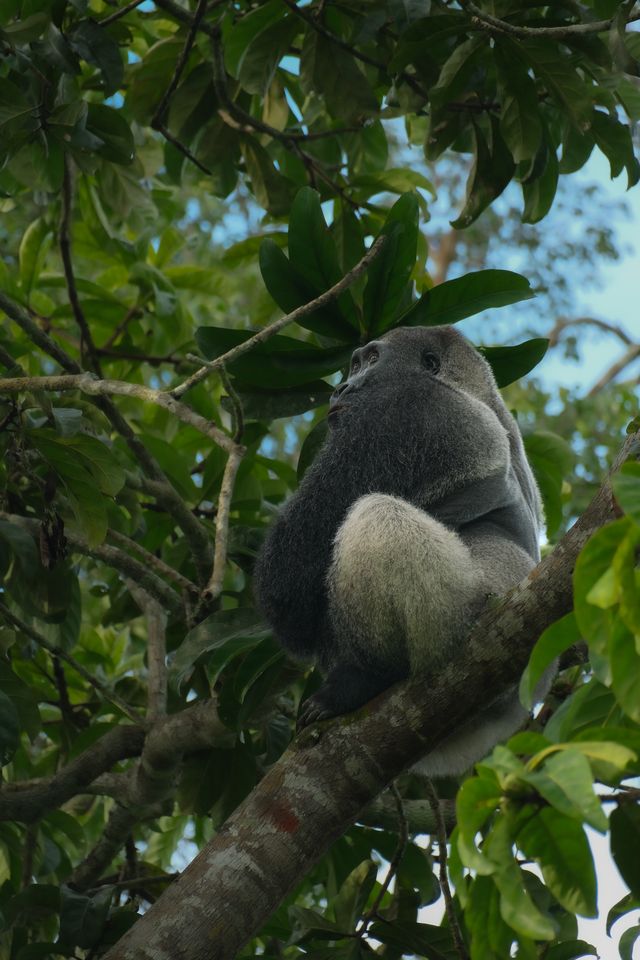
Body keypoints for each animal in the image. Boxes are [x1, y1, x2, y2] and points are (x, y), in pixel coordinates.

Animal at [253, 324, 544, 776]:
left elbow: (288, 585)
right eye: (353, 364)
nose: (340, 388)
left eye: (371, 361)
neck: (471, 388)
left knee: (376, 514)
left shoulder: (410, 408)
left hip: (465, 627)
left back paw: (362, 679)